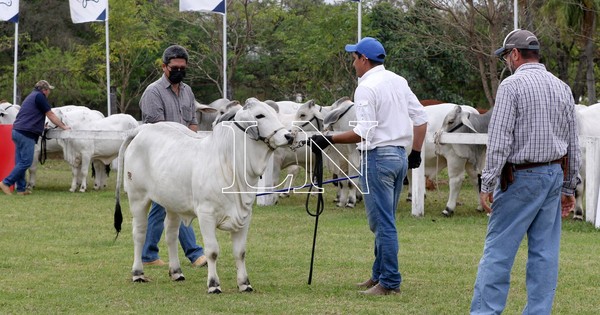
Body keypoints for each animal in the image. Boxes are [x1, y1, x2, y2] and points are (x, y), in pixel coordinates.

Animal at [113, 99, 294, 294]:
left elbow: (240, 252)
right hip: (138, 198)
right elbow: (212, 251)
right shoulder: (206, 215)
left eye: (275, 114)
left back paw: (176, 272)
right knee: (139, 233)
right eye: (260, 115)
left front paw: (245, 283)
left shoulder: (245, 215)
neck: (231, 164)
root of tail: (142, 129)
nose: (289, 136)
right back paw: (138, 273)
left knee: (171, 234)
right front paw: (214, 284)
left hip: (173, 204)